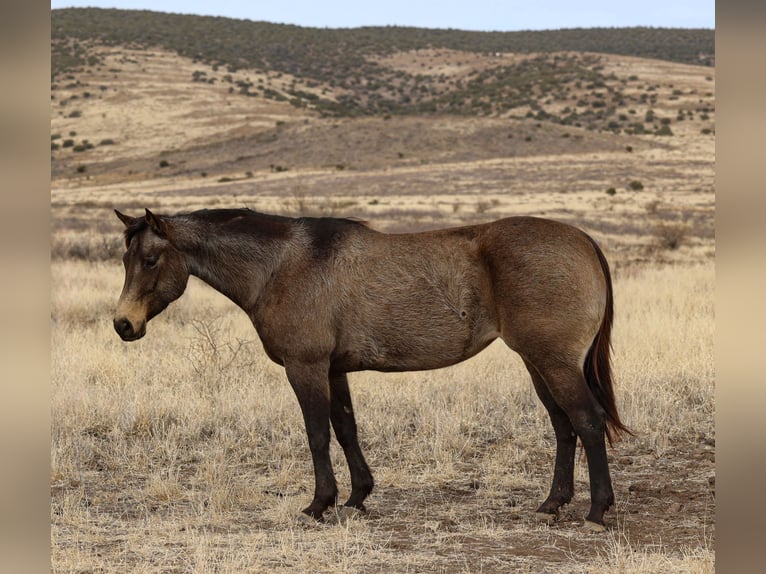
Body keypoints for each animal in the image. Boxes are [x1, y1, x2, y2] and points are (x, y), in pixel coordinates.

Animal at [114, 206, 632, 532]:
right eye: (125, 259)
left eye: (150, 259)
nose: (124, 324)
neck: (281, 266)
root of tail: (583, 239)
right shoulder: (333, 370)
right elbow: (346, 430)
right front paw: (357, 496)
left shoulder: (305, 369)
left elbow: (317, 434)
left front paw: (319, 504)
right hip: (538, 365)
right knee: (564, 427)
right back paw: (551, 505)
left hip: (553, 363)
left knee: (587, 422)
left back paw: (596, 511)